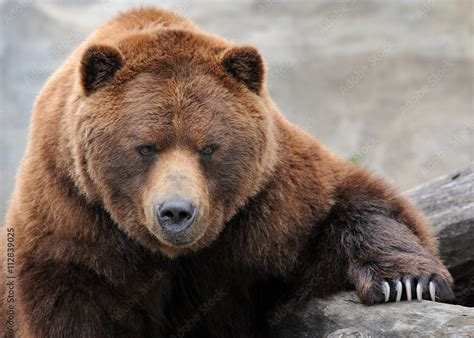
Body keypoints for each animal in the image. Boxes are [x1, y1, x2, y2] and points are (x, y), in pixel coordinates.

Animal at [1, 5, 456, 338]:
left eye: (209, 148)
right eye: (146, 147)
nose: (177, 212)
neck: (174, 255)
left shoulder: (268, 202)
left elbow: (350, 207)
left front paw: (407, 281)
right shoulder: (73, 217)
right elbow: (74, 305)